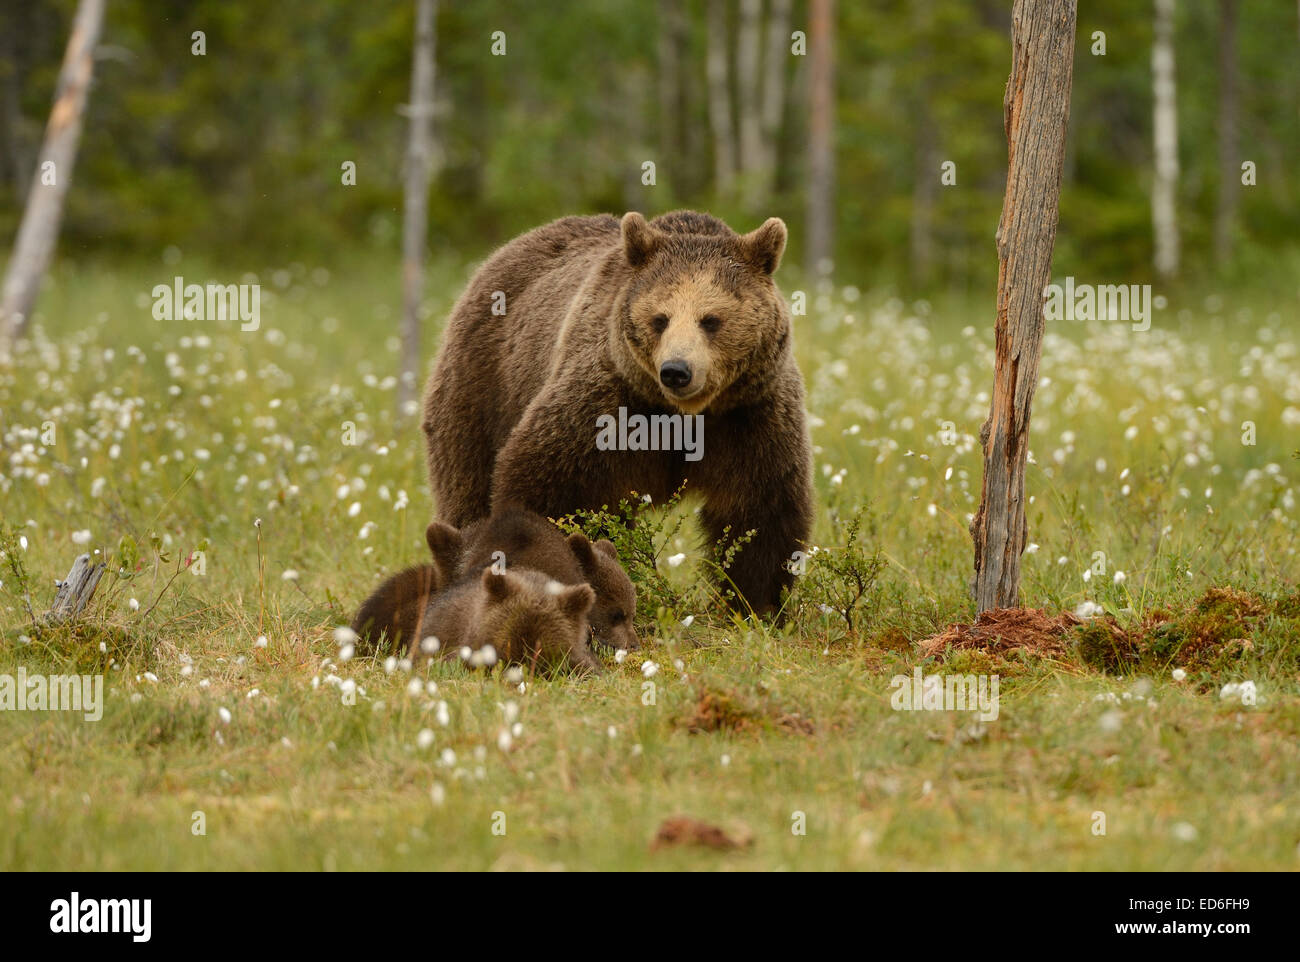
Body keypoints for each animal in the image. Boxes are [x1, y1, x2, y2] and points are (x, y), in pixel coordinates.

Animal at [422, 209, 812, 616]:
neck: (682, 414)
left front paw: (754, 603)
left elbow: (760, 508)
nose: (676, 370)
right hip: (484, 383)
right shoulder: (606, 404)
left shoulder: (749, 415)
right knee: (466, 482)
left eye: (710, 319)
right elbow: (551, 483)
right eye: (660, 319)